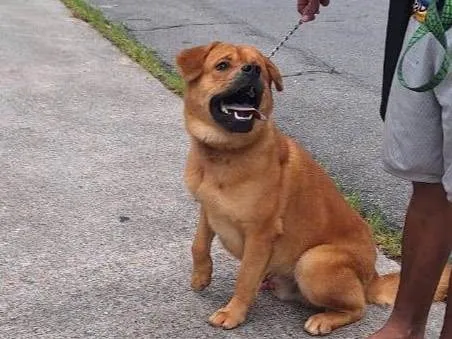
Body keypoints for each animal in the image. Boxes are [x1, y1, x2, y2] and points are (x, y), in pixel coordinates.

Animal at [175, 41, 446, 334]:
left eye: (259, 68)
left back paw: (325, 319)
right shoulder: (208, 208)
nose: (253, 70)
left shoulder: (260, 234)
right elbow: (199, 244)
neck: (223, 154)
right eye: (222, 65)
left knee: (358, 308)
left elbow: (244, 278)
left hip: (313, 262)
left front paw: (234, 313)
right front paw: (201, 275)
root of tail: (372, 278)